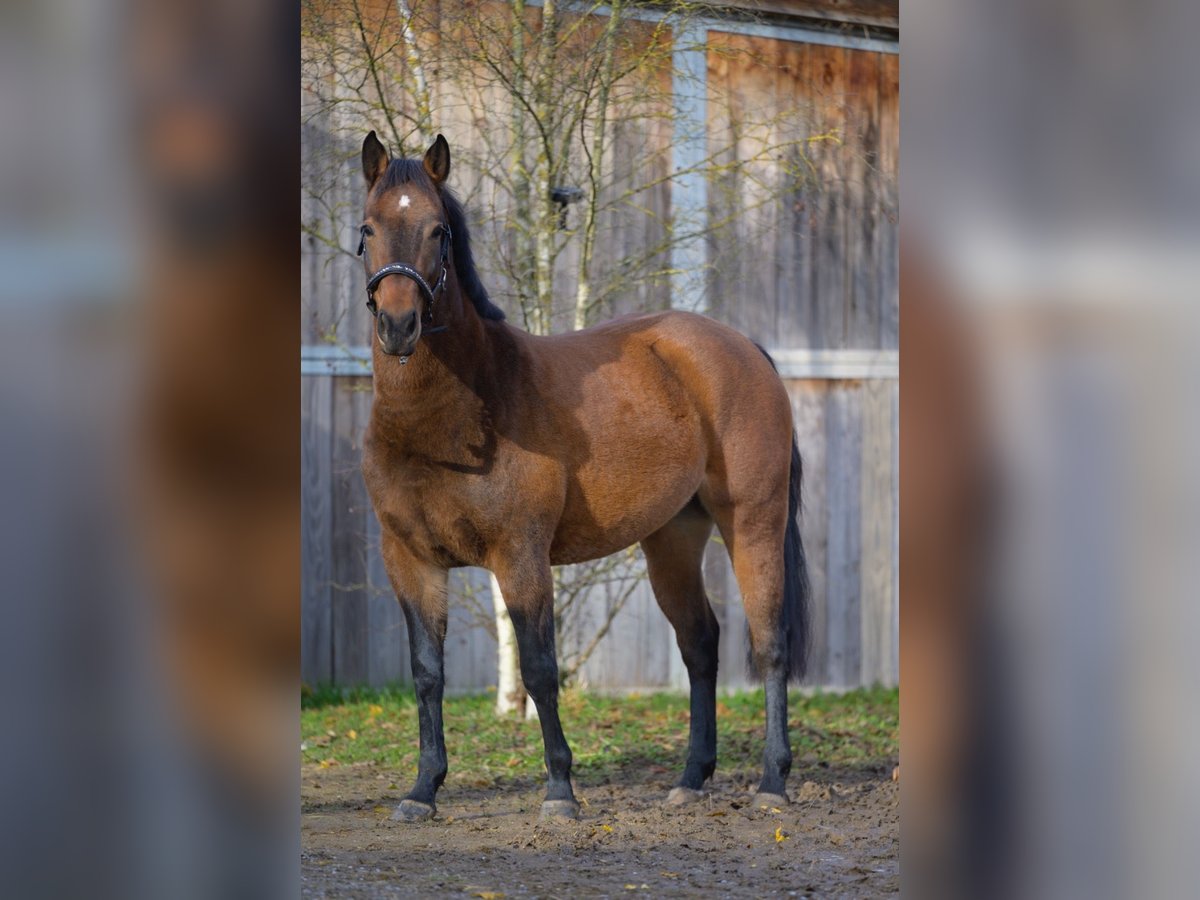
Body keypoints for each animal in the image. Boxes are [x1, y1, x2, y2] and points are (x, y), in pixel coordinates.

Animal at [352, 132, 806, 825]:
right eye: (368, 227)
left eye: (437, 230)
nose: (399, 325)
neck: (459, 415)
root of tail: (744, 348)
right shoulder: (409, 559)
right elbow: (427, 673)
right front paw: (422, 790)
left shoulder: (520, 556)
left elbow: (540, 671)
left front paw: (560, 791)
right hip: (672, 539)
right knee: (700, 643)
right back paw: (691, 778)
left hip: (754, 523)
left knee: (769, 639)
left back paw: (773, 782)